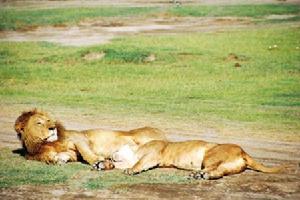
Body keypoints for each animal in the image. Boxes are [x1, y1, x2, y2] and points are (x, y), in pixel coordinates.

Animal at [14, 108, 166, 166]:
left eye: (48, 120)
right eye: (39, 122)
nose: (53, 127)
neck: (48, 143)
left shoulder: (79, 139)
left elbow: (86, 152)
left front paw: (98, 160)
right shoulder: (70, 154)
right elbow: (57, 156)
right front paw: (58, 160)